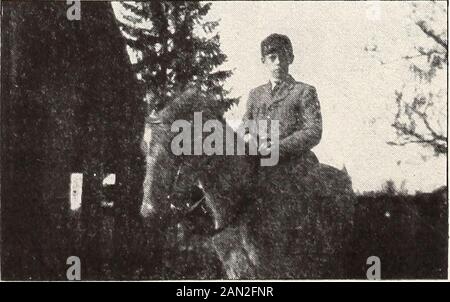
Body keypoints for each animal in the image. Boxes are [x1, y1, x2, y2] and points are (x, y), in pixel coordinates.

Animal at [139, 86, 356, 280]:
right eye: (145, 144)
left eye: (180, 142)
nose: (149, 210)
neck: (241, 200)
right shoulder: (236, 270)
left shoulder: (276, 269)